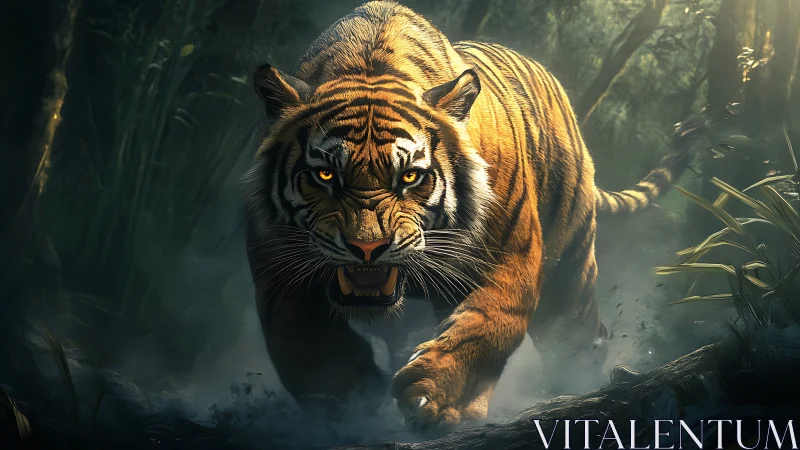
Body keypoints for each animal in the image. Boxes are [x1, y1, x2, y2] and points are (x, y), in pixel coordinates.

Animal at [242, 0, 701, 429]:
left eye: (410, 176)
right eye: (325, 174)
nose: (367, 249)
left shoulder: (510, 254)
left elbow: (488, 325)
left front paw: (436, 400)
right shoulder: (278, 269)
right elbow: (307, 346)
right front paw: (351, 407)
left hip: (569, 273)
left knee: (581, 334)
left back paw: (587, 384)